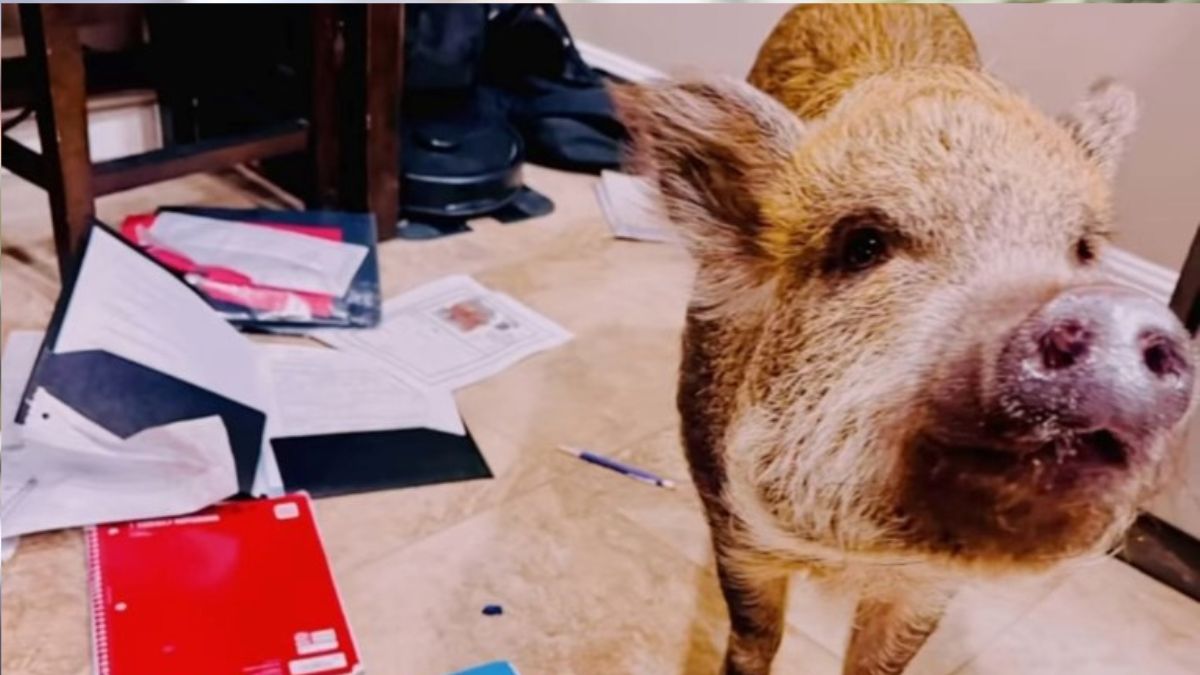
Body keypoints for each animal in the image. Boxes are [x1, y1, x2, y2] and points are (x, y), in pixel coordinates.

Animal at [611, 5, 1196, 675]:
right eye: (863, 244)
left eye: (1082, 249)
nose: (1118, 310)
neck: (848, 554)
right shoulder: (730, 522)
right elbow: (755, 634)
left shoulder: (927, 584)